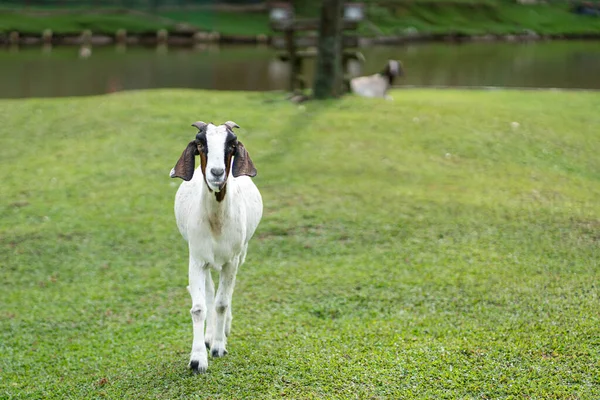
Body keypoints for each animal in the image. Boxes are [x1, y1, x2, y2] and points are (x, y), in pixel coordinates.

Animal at [169, 120, 262, 374]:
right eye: (200, 144)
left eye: (232, 145)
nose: (217, 173)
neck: (216, 222)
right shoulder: (197, 259)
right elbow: (199, 307)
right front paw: (198, 358)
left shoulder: (231, 261)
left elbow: (222, 303)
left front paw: (219, 347)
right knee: (210, 291)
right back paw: (209, 335)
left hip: (240, 254)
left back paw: (223, 330)